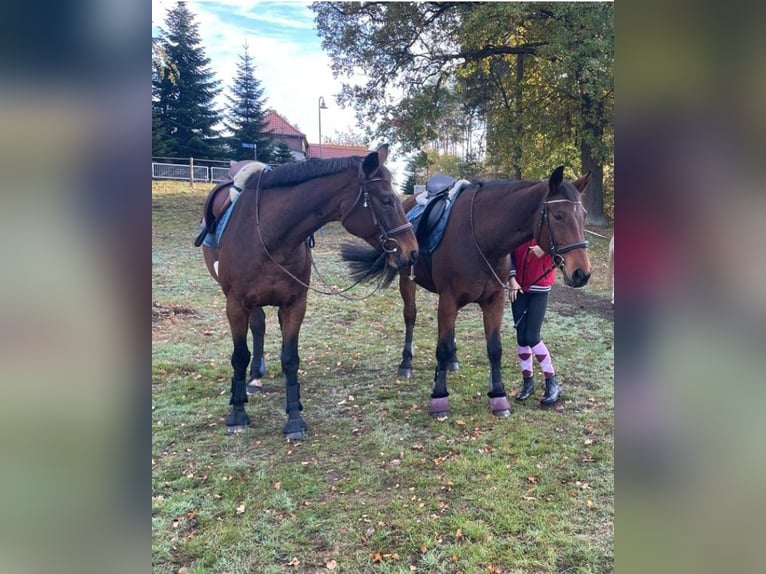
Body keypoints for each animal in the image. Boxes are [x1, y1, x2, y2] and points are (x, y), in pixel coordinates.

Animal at [198, 146, 420, 438]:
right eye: (386, 200)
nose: (412, 251)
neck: (268, 234)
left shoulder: (295, 303)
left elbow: (291, 358)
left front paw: (294, 416)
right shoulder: (235, 304)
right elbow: (239, 356)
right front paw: (237, 414)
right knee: (257, 327)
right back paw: (253, 378)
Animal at [344, 164, 592, 420]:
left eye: (583, 216)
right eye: (558, 216)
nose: (581, 273)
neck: (483, 239)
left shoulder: (494, 301)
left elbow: (494, 348)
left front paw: (498, 397)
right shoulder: (448, 300)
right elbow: (441, 348)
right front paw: (439, 398)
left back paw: (453, 362)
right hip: (407, 279)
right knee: (410, 316)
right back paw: (406, 364)